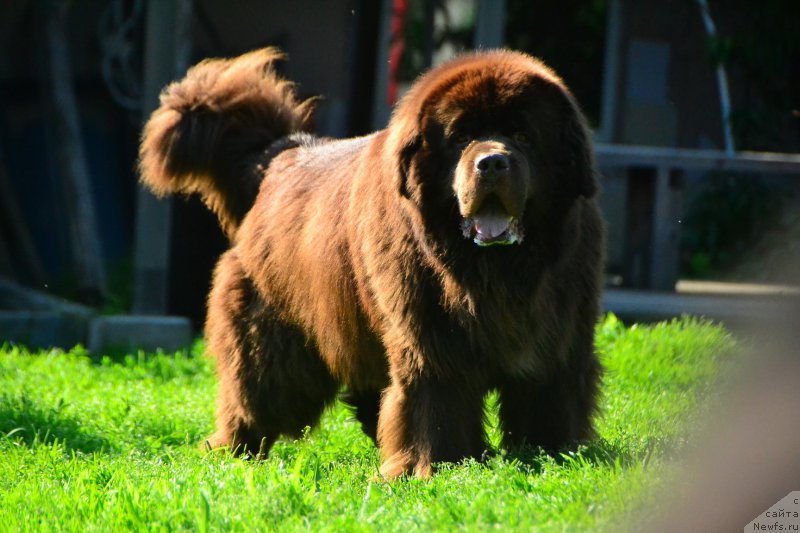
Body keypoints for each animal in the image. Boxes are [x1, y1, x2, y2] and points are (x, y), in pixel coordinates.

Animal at [141, 46, 608, 478]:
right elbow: (435, 397)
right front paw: (433, 466)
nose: (491, 162)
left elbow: (549, 393)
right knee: (256, 393)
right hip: (274, 335)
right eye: (460, 138)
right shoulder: (429, 338)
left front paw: (555, 452)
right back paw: (229, 450)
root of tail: (278, 155)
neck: (494, 273)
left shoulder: (558, 335)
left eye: (524, 136)